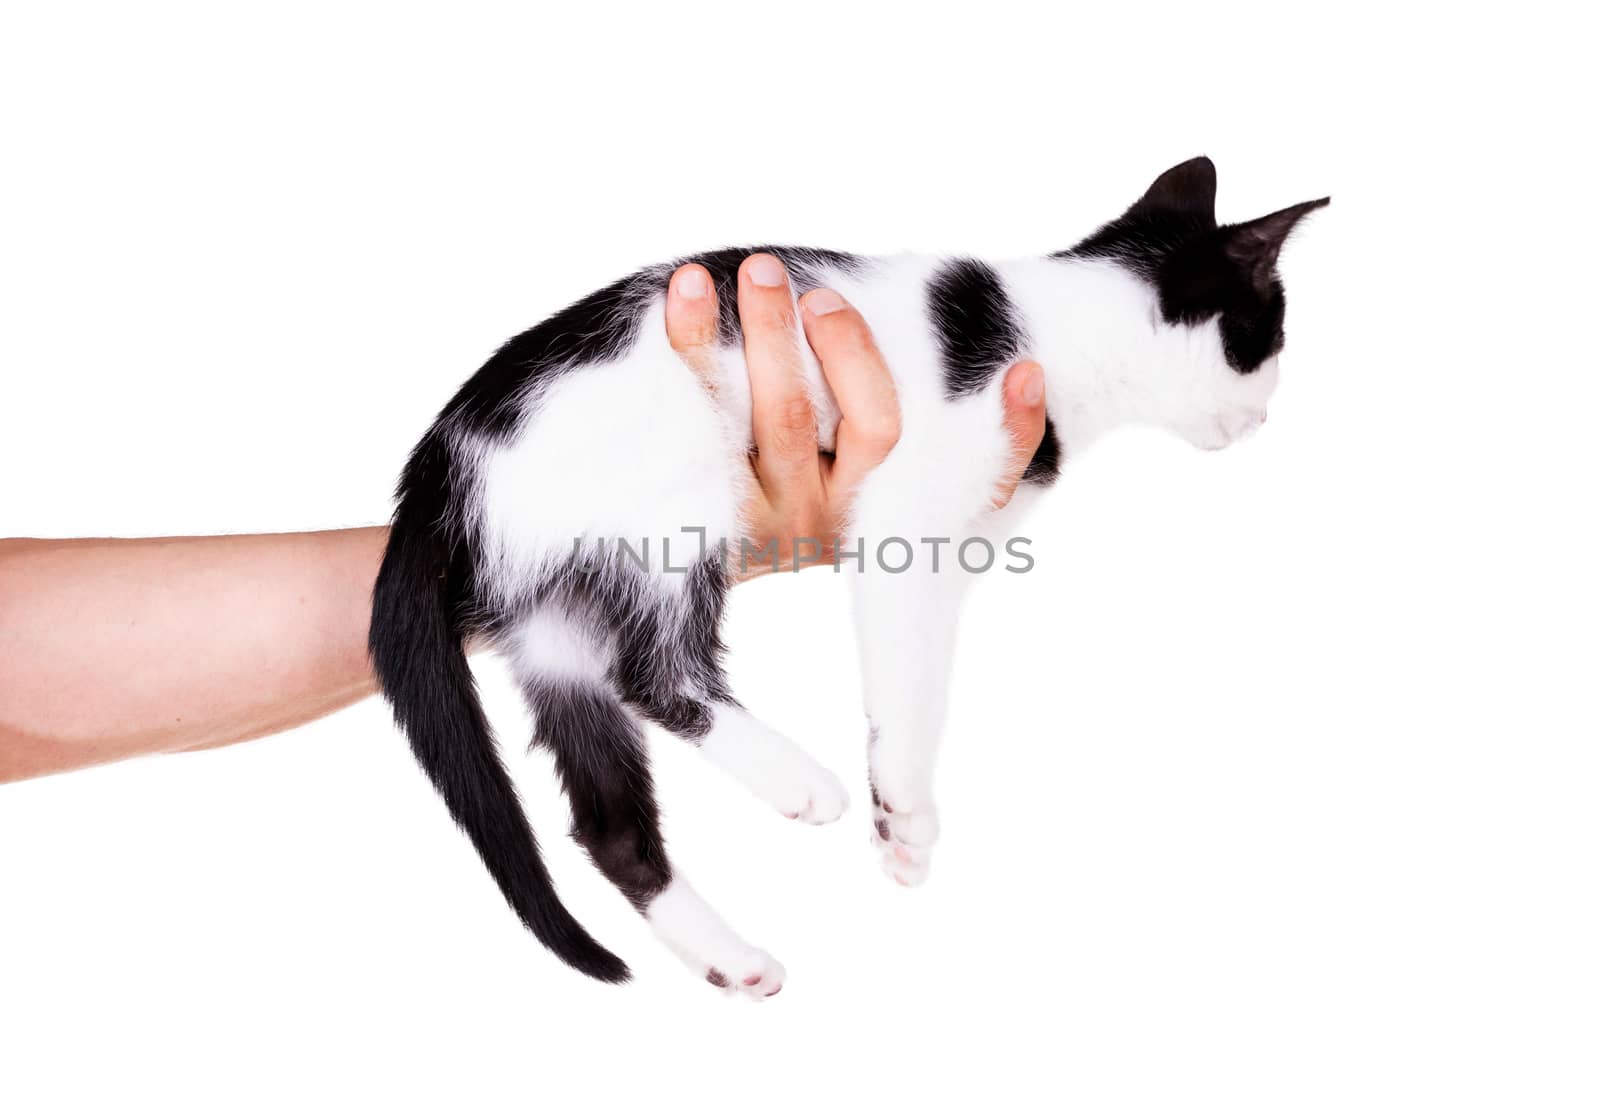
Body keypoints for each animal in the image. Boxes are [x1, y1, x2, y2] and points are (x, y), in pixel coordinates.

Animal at [371, 156, 1324, 998]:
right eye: (1271, 335)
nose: (1268, 418)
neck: (1054, 332)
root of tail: (440, 461)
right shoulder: (907, 519)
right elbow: (914, 684)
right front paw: (903, 806)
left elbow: (918, 665)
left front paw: (896, 818)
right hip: (678, 496)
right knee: (651, 672)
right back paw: (798, 781)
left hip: (552, 621)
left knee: (611, 822)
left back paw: (730, 957)